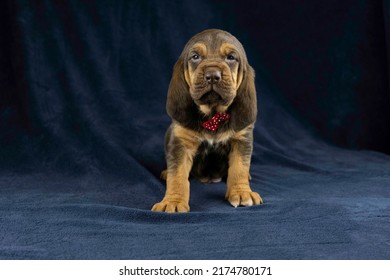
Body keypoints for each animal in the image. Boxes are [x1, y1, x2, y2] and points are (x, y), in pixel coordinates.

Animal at [152, 28, 262, 212]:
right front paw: (173, 201)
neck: (213, 115)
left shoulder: (241, 140)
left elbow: (239, 168)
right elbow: (178, 176)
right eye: (195, 56)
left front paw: (241, 192)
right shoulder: (180, 143)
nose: (212, 75)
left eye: (231, 57)